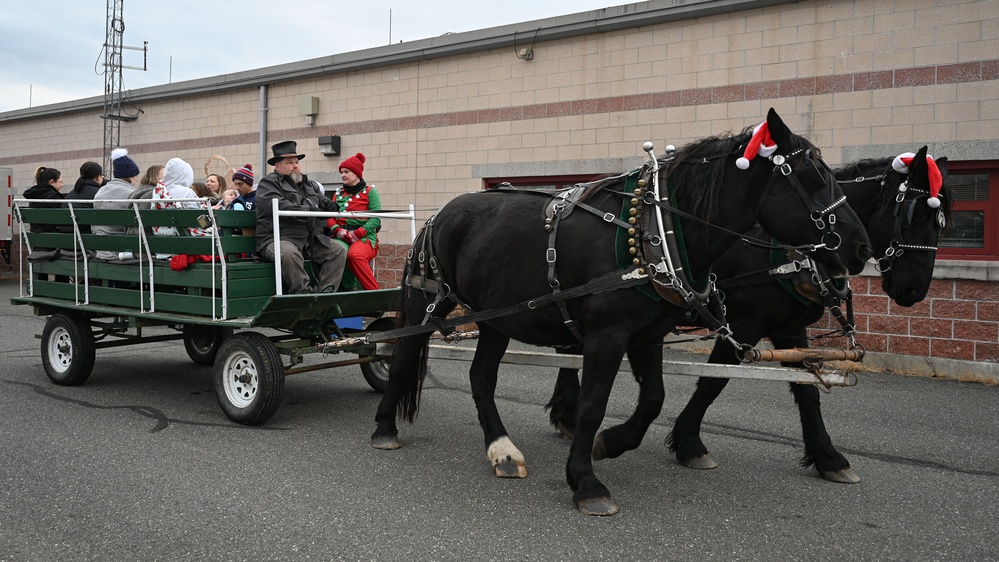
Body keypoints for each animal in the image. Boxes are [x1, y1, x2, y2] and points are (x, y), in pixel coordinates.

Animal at [376, 107, 876, 516]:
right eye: (811, 176)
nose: (861, 247)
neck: (659, 231)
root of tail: (440, 213)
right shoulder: (609, 335)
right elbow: (594, 403)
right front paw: (586, 482)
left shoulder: (650, 334)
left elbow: (654, 398)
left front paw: (610, 444)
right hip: (427, 300)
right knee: (401, 358)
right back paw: (384, 427)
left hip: (497, 316)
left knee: (481, 377)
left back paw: (502, 450)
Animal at [544, 144, 948, 482]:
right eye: (915, 216)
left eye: (944, 220)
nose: (914, 290)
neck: (787, 250)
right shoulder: (746, 323)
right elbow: (713, 382)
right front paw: (689, 443)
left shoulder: (788, 327)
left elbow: (806, 392)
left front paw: (828, 456)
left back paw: (565, 414)